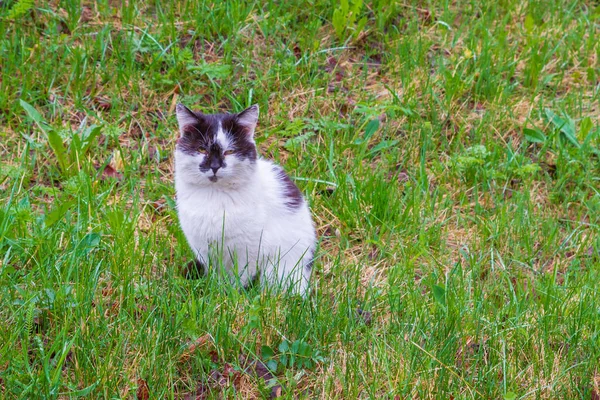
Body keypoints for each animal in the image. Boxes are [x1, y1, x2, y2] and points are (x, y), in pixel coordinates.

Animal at [173, 103, 316, 296]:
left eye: (230, 151)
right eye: (202, 149)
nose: (215, 167)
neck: (215, 196)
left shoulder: (248, 249)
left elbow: (239, 277)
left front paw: (230, 295)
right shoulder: (203, 247)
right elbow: (214, 273)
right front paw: (214, 290)